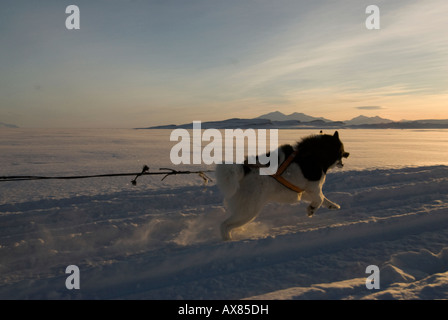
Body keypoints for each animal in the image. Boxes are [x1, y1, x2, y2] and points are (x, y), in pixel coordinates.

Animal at [216, 131, 350, 240]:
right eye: (341, 149)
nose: (348, 154)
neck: (315, 155)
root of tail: (244, 170)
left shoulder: (304, 192)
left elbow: (323, 199)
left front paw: (333, 206)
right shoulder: (313, 188)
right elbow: (320, 198)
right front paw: (311, 209)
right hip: (249, 211)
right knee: (224, 225)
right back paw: (228, 240)